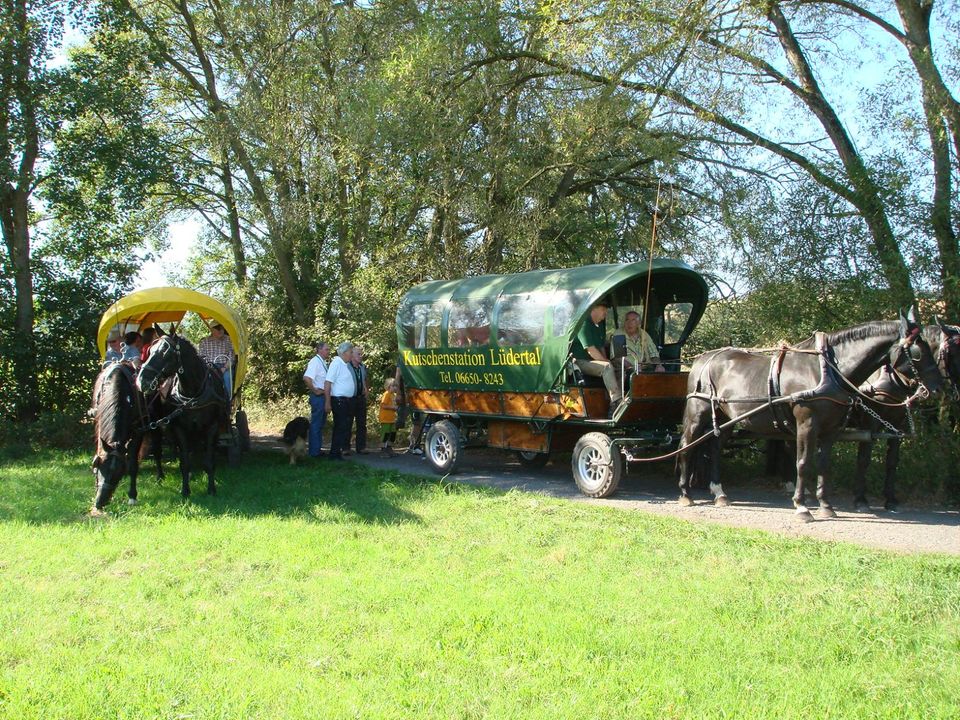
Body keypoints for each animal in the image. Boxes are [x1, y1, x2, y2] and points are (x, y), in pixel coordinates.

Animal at [137, 334, 229, 498]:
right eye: (150, 351)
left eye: (165, 352)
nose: (142, 380)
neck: (193, 394)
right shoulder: (180, 429)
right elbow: (184, 462)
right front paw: (185, 490)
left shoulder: (212, 427)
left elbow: (209, 461)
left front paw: (211, 489)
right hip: (155, 424)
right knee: (157, 450)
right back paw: (160, 476)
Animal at [680, 312, 940, 520]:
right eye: (918, 351)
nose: (937, 388)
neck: (826, 370)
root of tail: (703, 358)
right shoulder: (807, 424)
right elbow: (803, 463)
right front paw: (802, 507)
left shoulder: (831, 430)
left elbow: (824, 465)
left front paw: (825, 506)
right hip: (698, 415)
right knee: (686, 446)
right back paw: (685, 493)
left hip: (725, 420)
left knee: (714, 448)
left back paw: (720, 493)